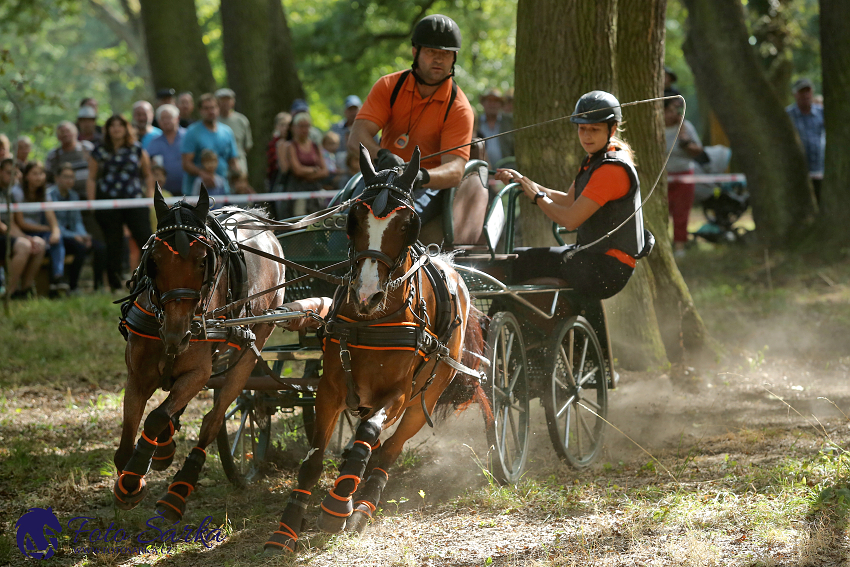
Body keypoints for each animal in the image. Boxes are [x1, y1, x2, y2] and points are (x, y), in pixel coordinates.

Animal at [112, 187, 286, 524]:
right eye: (154, 259)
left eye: (203, 260)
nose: (177, 333)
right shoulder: (136, 375)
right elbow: (130, 428)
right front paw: (131, 475)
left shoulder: (199, 373)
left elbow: (155, 417)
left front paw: (134, 474)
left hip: (251, 348)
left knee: (214, 419)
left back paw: (178, 492)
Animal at [262, 145, 486, 556]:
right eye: (354, 219)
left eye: (407, 224)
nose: (367, 295)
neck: (373, 320)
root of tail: (450, 267)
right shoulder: (330, 389)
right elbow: (312, 460)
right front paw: (285, 531)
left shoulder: (397, 394)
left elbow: (368, 435)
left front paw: (337, 508)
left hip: (426, 395)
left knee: (388, 449)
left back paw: (362, 506)